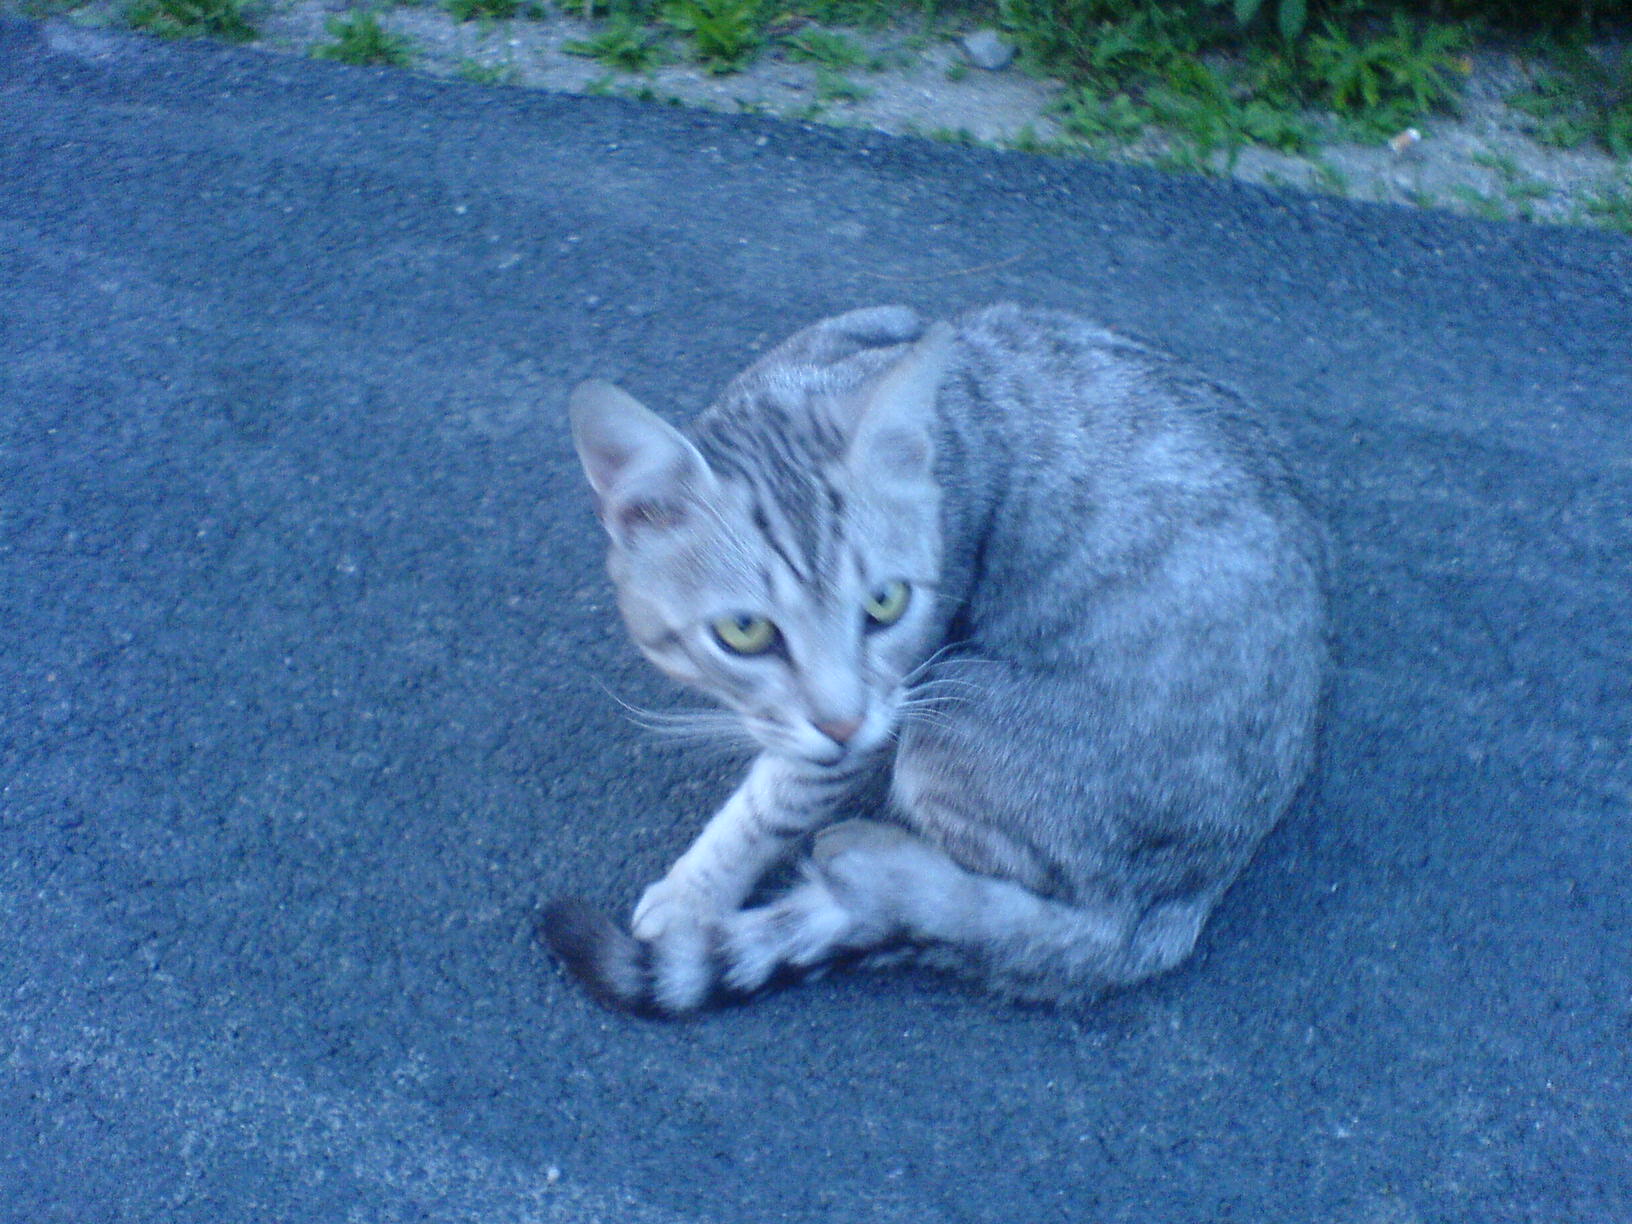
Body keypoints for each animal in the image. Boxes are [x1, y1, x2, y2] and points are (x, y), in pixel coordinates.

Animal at [541, 305, 1331, 1018]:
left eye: (886, 602)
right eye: (744, 632)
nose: (841, 723)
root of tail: (1179, 907)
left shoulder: (894, 698)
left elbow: (774, 803)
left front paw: (696, 891)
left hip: (962, 710)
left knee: (1031, 908)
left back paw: (869, 855)